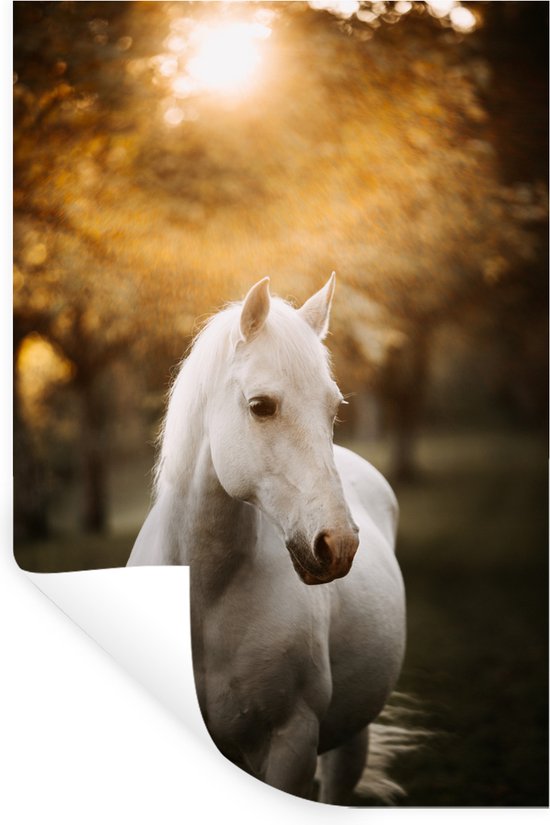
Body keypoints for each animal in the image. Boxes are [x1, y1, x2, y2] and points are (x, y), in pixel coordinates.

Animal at [128, 275, 408, 805]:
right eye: (261, 406)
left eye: (333, 407)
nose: (337, 544)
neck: (206, 600)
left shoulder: (291, 744)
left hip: (350, 742)